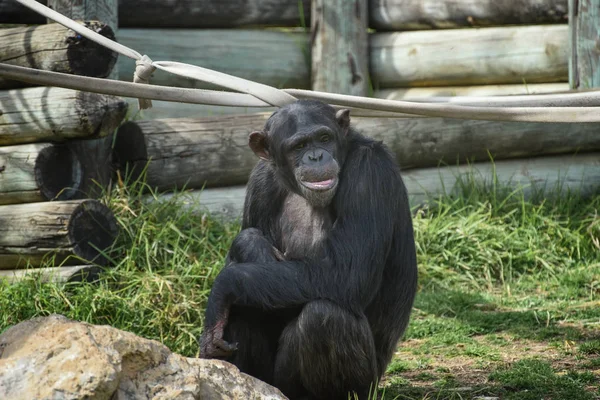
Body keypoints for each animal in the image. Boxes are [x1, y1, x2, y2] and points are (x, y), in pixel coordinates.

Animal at [199, 99, 414, 400]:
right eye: (298, 146)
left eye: (324, 138)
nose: (315, 157)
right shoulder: (260, 181)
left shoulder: (369, 173)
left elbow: (347, 273)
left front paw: (221, 288)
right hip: (270, 379)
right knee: (242, 308)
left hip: (364, 386)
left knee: (323, 317)